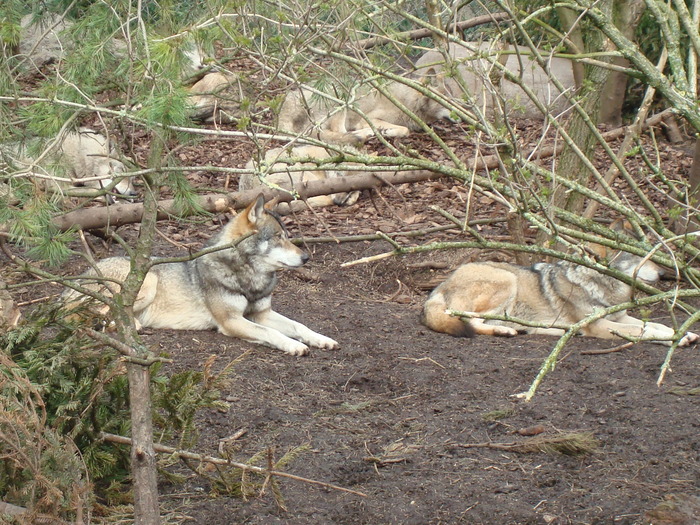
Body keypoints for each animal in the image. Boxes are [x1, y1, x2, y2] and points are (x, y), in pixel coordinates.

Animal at [63, 196, 340, 356]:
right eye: (278, 237)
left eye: (288, 235)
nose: (306, 258)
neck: (248, 277)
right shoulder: (231, 321)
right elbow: (272, 334)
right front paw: (294, 346)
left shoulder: (261, 313)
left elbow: (299, 325)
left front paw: (321, 339)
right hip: (147, 281)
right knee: (86, 314)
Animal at [276, 69, 456, 145]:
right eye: (445, 101)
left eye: (454, 100)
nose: (460, 117)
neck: (407, 100)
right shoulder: (369, 118)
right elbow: (405, 130)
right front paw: (386, 131)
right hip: (343, 99)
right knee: (339, 132)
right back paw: (370, 134)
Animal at [422, 224, 700, 344]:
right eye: (637, 257)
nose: (665, 274)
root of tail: (437, 289)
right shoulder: (599, 325)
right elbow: (644, 330)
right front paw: (674, 336)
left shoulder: (619, 317)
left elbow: (653, 324)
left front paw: (683, 334)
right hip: (507, 281)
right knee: (468, 321)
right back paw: (505, 331)